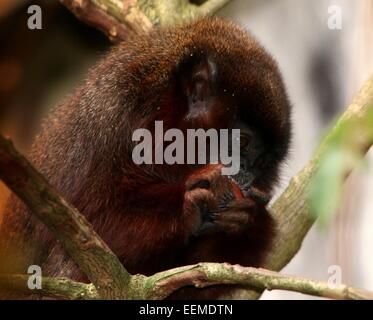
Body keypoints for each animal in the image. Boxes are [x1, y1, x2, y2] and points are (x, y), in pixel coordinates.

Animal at [0, 16, 290, 298]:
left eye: (262, 163)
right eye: (242, 142)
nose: (247, 175)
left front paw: (246, 220)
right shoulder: (112, 120)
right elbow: (81, 228)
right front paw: (187, 203)